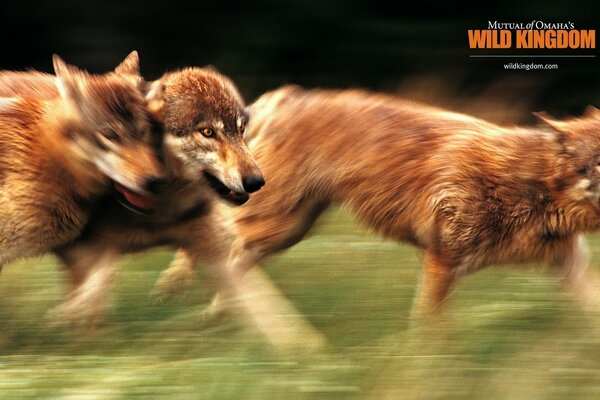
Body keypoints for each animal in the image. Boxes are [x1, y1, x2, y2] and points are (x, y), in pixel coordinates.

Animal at [156, 86, 600, 324]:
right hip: (274, 225)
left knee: (232, 257)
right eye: (597, 163)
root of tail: (285, 96)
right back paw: (177, 287)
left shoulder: (570, 268)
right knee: (214, 232)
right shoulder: (441, 263)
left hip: (284, 233)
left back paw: (218, 314)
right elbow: (430, 334)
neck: (530, 186)